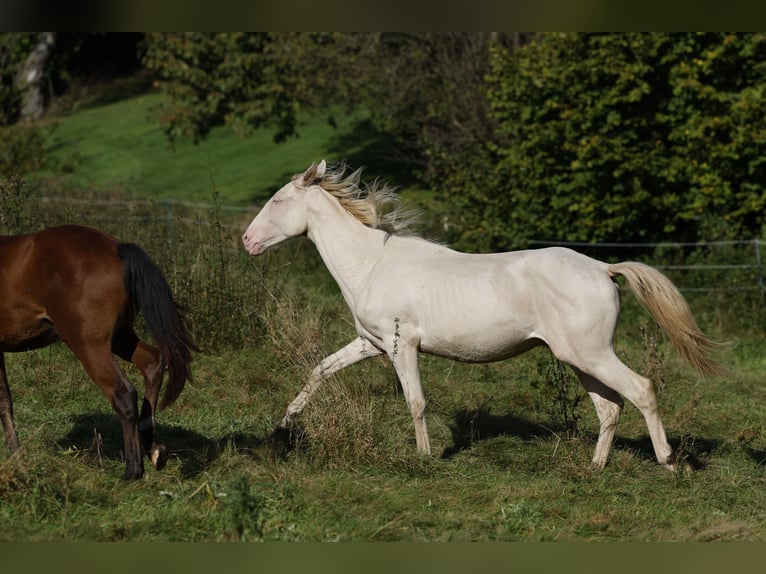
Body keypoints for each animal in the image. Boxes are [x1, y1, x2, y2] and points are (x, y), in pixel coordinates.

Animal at [0, 225, 198, 482]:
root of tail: (117, 248)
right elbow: (5, 400)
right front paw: (16, 455)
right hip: (120, 337)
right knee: (153, 362)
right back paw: (153, 449)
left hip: (88, 344)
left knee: (123, 392)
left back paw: (132, 471)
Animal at [242, 160, 728, 470]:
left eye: (278, 201)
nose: (247, 240)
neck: (371, 265)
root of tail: (604, 269)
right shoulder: (371, 343)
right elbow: (319, 371)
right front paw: (283, 428)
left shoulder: (404, 347)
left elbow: (415, 401)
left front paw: (424, 458)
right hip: (579, 358)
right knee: (609, 408)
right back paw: (595, 467)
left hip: (590, 354)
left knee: (641, 390)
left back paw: (668, 462)